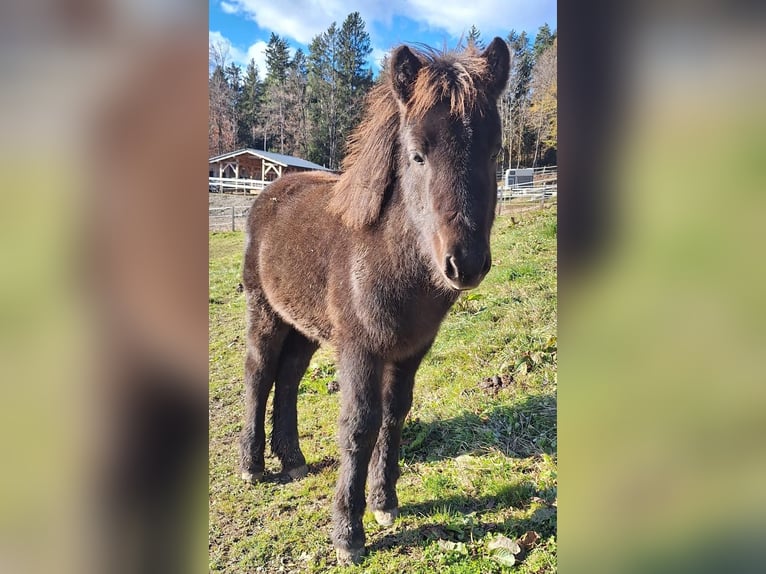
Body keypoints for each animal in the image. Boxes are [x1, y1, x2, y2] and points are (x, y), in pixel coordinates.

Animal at [239, 37, 510, 564]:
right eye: (417, 155)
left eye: (494, 152)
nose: (465, 264)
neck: (388, 257)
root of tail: (270, 190)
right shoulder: (361, 348)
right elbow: (359, 426)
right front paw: (348, 534)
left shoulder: (410, 350)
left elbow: (394, 415)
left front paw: (385, 503)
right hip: (266, 313)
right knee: (260, 374)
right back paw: (253, 464)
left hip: (305, 326)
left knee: (288, 377)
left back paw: (293, 459)